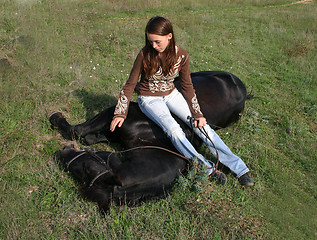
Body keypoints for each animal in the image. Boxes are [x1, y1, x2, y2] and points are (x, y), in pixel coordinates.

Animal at [50, 71, 247, 212]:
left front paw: (56, 118)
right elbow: (90, 135)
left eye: (85, 170)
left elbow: (78, 131)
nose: (61, 153)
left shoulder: (115, 115)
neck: (155, 140)